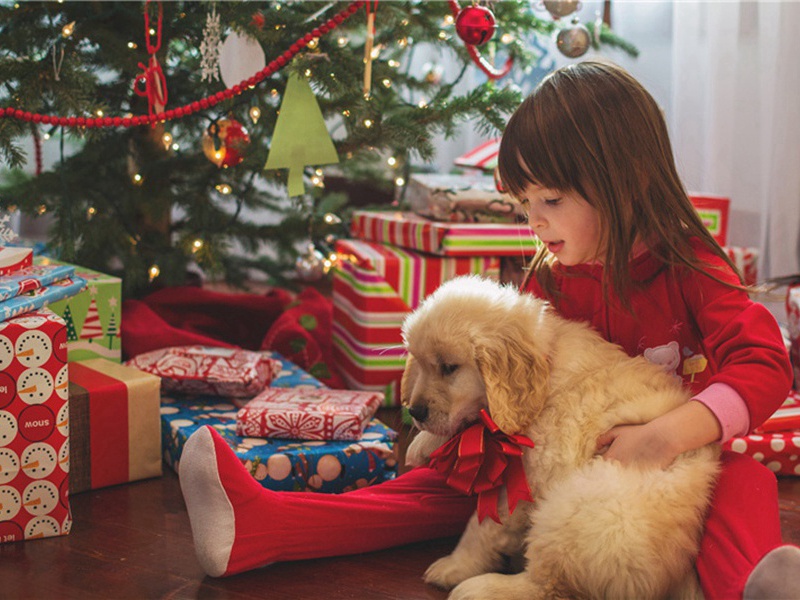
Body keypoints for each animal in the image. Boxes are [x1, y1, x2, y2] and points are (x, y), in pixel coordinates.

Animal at [400, 276, 720, 600]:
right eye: (421, 363)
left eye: (449, 367)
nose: (415, 411)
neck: (546, 372)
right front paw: (423, 444)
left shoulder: (530, 480)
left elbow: (484, 526)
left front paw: (455, 566)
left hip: (578, 505)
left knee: (547, 585)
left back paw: (481, 588)